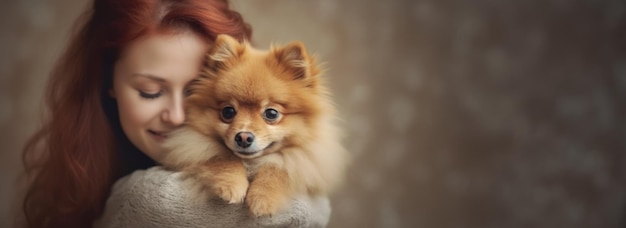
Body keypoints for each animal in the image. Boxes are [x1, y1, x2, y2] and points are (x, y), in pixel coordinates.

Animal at [158, 34, 348, 217]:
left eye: (271, 113)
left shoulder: (302, 161)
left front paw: (263, 198)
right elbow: (222, 157)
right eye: (228, 112)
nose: (243, 137)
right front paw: (232, 184)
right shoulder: (195, 146)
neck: (251, 162)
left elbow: (278, 168)